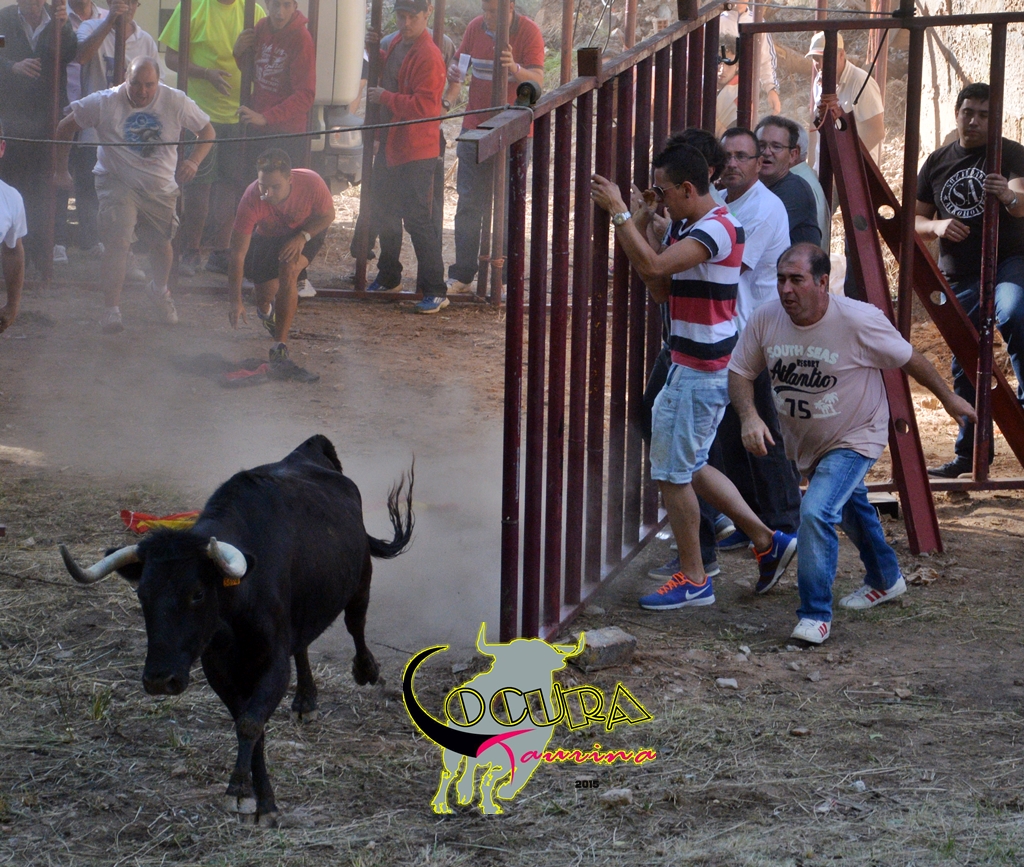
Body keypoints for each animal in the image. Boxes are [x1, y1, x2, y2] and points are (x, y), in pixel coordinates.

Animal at [59, 434, 413, 826]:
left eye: (197, 593)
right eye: (141, 594)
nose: (159, 680)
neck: (239, 599)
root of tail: (312, 449)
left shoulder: (273, 665)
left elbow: (250, 723)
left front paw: (241, 791)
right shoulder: (219, 669)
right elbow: (250, 724)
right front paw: (258, 799)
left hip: (361, 579)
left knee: (355, 624)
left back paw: (366, 670)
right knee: (303, 644)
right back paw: (306, 700)